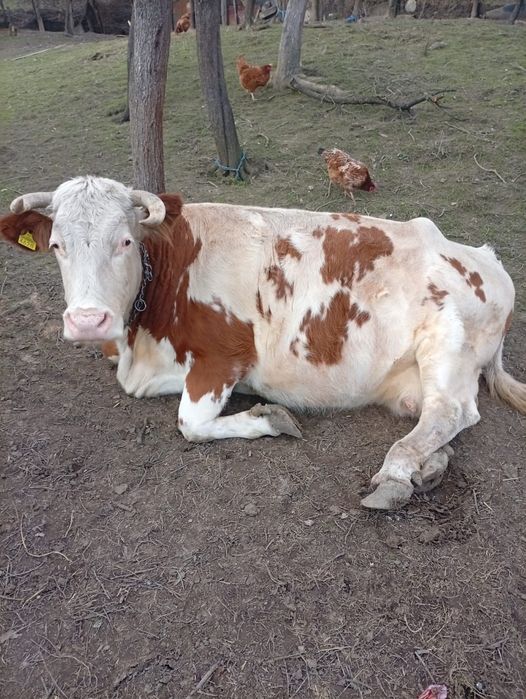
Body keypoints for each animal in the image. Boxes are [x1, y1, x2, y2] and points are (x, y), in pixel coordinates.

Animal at [1, 176, 524, 510]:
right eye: (56, 246)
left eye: (125, 241)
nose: (88, 320)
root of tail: (485, 257)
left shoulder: (225, 357)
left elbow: (191, 424)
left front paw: (269, 417)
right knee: (432, 417)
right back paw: (429, 465)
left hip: (445, 343)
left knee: (451, 411)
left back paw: (396, 473)